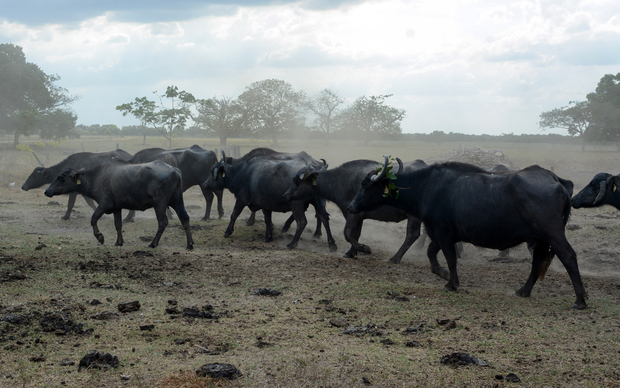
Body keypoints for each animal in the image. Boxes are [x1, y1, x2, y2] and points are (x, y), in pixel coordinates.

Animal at [44, 159, 194, 250]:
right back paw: (190, 244)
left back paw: (153, 243)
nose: (47, 191)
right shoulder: (117, 208)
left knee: (163, 222)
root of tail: (174, 171)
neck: (96, 176)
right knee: (185, 218)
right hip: (177, 201)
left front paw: (100, 237)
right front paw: (119, 242)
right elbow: (118, 224)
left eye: (61, 177)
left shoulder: (104, 205)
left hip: (160, 203)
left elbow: (93, 219)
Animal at [203, 152, 336, 252]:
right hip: (318, 201)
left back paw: (292, 243)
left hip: (296, 204)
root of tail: (314, 171)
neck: (242, 173)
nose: (204, 184)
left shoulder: (242, 199)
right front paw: (268, 237)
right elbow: (267, 220)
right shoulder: (265, 204)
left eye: (211, 171)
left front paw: (227, 232)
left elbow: (234, 214)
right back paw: (332, 244)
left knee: (302, 222)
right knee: (324, 218)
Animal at [284, 158, 428, 264]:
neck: (340, 181)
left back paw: (395, 258)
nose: (285, 195)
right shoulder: (358, 216)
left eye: (295, 180)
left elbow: (347, 233)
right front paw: (351, 252)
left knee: (412, 235)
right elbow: (356, 234)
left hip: (414, 217)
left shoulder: (352, 213)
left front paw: (365, 249)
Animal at [348, 156, 588, 310]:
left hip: (552, 234)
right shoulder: (438, 234)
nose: (351, 206)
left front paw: (451, 283)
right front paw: (443, 274)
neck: (426, 187)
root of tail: (557, 181)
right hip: (539, 239)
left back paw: (580, 300)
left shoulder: (443, 232)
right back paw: (523, 290)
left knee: (568, 256)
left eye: (365, 184)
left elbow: (450, 258)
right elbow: (432, 255)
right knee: (537, 261)